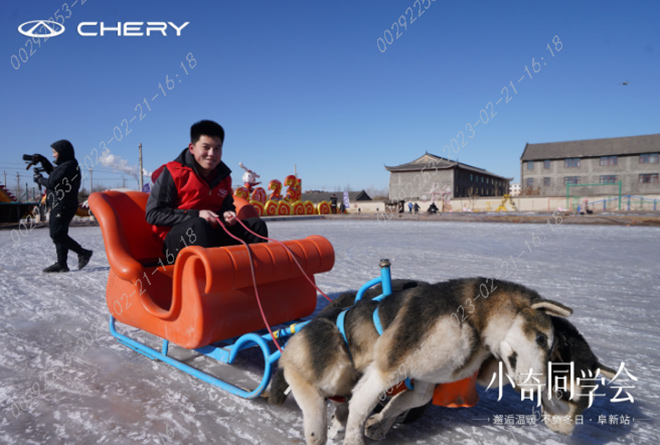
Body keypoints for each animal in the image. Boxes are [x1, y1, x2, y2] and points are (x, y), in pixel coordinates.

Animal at [272, 276, 572, 442]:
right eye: (541, 339)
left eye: (552, 347)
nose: (541, 385)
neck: (472, 319)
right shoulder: (386, 369)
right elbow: (361, 407)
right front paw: (358, 435)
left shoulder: (425, 378)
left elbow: (408, 400)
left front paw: (379, 422)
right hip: (327, 370)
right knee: (307, 394)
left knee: (341, 406)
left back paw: (337, 423)